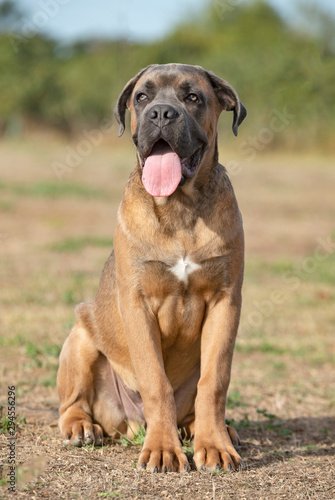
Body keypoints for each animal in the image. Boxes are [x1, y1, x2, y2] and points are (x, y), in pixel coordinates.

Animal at [57, 62, 247, 472]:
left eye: (193, 97)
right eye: (142, 97)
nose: (161, 113)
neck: (180, 208)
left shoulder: (226, 301)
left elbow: (215, 381)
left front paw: (215, 445)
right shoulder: (137, 303)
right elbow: (156, 382)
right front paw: (163, 450)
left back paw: (209, 429)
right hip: (80, 337)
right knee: (72, 402)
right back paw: (81, 427)